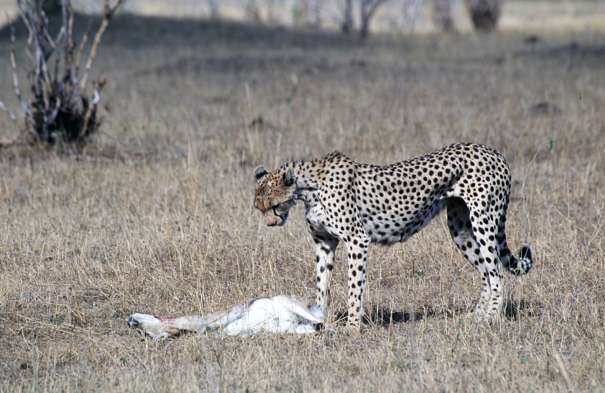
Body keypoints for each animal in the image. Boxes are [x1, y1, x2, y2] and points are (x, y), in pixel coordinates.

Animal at [252, 143, 532, 328]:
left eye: (274, 206)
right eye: (259, 207)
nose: (270, 223)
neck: (309, 187)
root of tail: (493, 151)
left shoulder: (357, 240)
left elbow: (354, 286)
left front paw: (352, 328)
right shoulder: (324, 243)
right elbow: (321, 284)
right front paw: (318, 321)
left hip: (484, 220)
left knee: (496, 273)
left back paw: (491, 319)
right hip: (461, 229)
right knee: (486, 272)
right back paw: (476, 316)